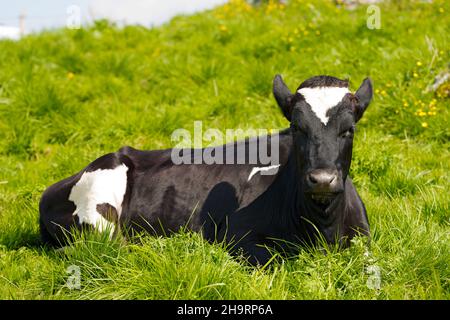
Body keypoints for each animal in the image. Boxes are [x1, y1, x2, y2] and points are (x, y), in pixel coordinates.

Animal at [39, 75, 372, 264]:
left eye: (349, 129)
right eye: (297, 127)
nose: (322, 179)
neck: (322, 228)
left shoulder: (365, 241)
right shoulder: (237, 236)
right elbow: (276, 259)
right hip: (101, 205)